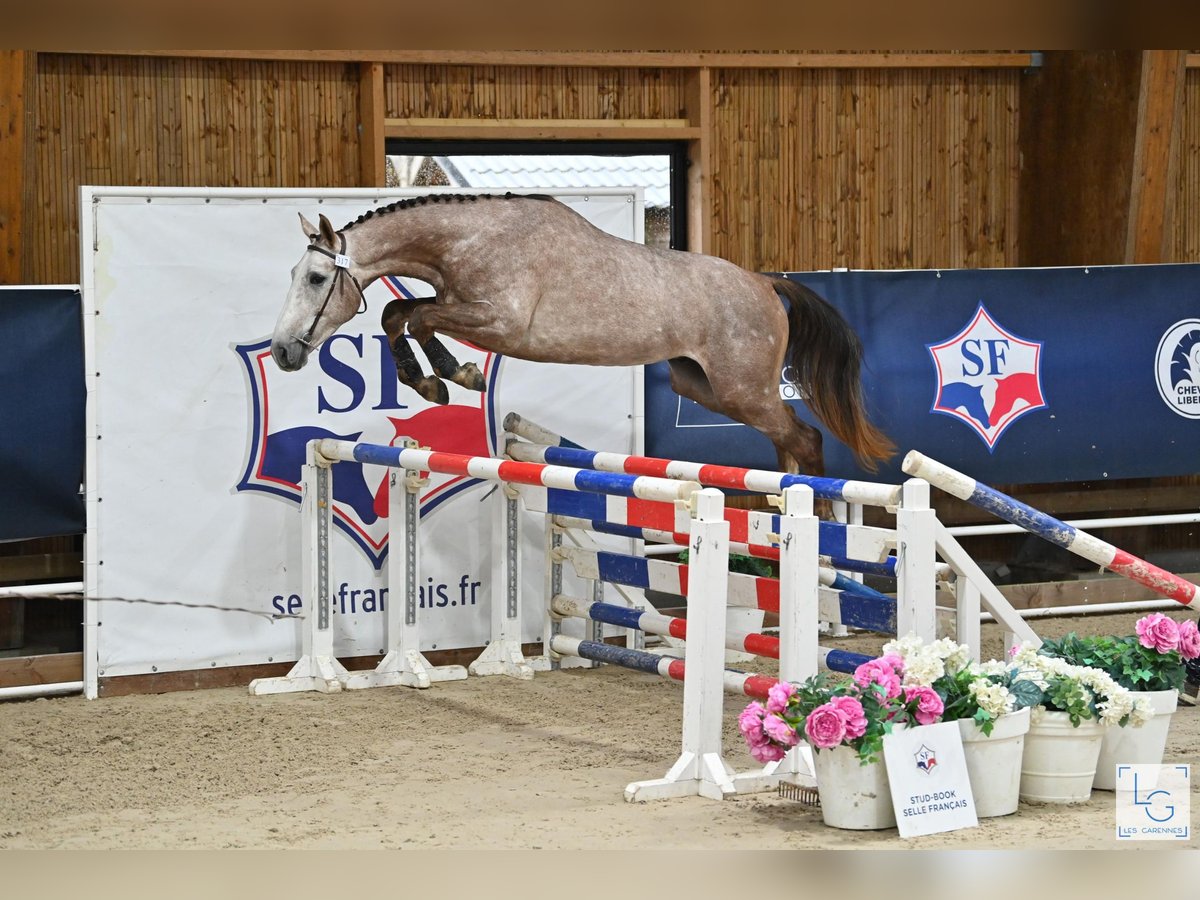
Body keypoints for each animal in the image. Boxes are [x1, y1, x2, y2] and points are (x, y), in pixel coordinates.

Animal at [270, 193, 892, 475]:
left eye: (318, 278)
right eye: (295, 273)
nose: (281, 351)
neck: (468, 238)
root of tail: (765, 283)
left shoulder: (499, 321)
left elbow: (417, 318)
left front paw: (450, 377)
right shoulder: (456, 302)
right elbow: (398, 314)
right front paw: (428, 381)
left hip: (744, 388)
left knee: (805, 439)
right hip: (705, 387)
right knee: (788, 439)